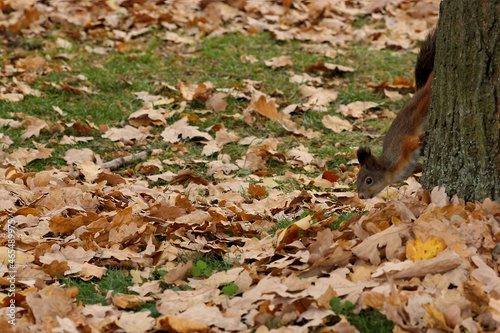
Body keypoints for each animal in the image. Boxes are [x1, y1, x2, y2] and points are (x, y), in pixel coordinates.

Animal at [358, 29, 436, 198]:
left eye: (369, 180)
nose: (361, 196)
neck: (391, 171)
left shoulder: (400, 147)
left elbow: (410, 141)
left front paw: (420, 141)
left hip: (424, 100)